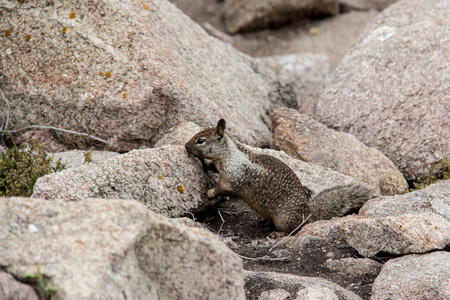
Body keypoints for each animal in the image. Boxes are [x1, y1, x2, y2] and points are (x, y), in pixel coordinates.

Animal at [184, 119, 376, 232]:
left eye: (200, 141)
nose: (186, 145)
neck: (229, 154)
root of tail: (307, 213)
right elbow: (211, 168)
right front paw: (203, 163)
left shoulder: (232, 178)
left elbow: (223, 189)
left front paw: (209, 193)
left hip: (284, 218)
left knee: (292, 229)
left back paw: (277, 234)